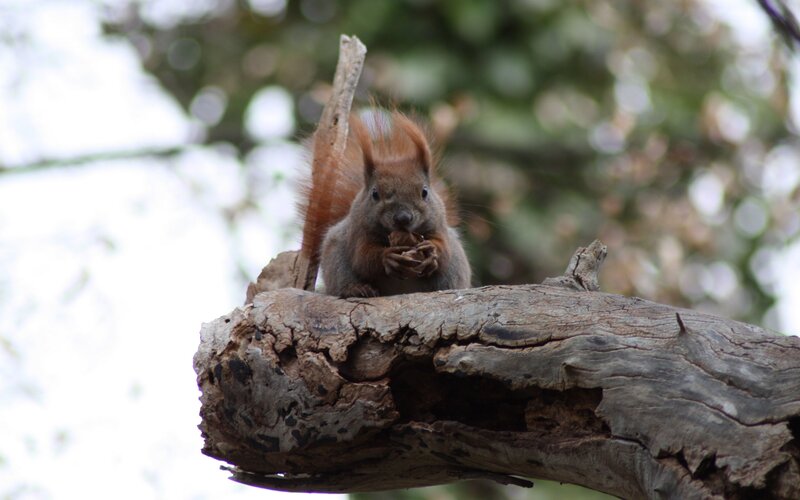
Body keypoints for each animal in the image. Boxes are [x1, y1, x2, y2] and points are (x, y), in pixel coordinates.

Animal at [298, 110, 471, 298]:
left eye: (424, 192)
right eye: (375, 194)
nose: (403, 218)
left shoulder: (438, 224)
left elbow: (444, 250)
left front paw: (432, 251)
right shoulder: (359, 230)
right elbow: (363, 257)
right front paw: (387, 258)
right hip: (336, 258)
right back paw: (357, 289)